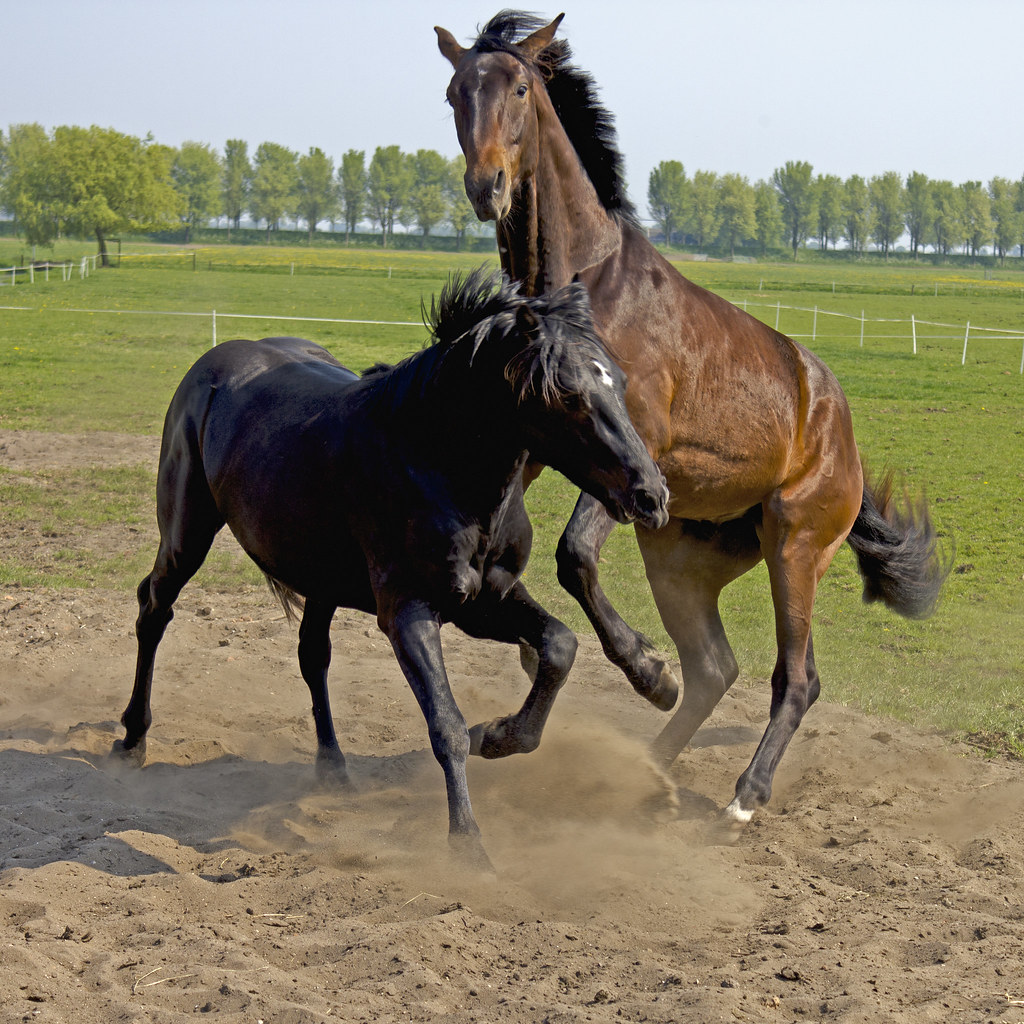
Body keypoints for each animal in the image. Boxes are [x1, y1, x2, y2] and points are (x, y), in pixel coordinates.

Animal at [112, 269, 668, 867]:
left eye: (620, 381)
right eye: (566, 393)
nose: (651, 495)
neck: (432, 460)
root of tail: (216, 363)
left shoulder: (485, 600)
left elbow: (560, 646)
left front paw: (499, 735)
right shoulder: (408, 613)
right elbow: (445, 724)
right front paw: (468, 847)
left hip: (321, 578)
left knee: (312, 655)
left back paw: (333, 769)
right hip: (186, 536)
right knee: (154, 607)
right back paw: (132, 740)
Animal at [436, 13, 949, 826]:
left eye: (517, 87)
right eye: (456, 91)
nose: (486, 185)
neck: (585, 285)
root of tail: (845, 445)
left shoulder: (632, 451)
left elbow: (574, 555)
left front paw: (646, 670)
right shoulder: (539, 446)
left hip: (794, 550)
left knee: (794, 678)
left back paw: (743, 796)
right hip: (680, 557)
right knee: (714, 668)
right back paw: (645, 770)